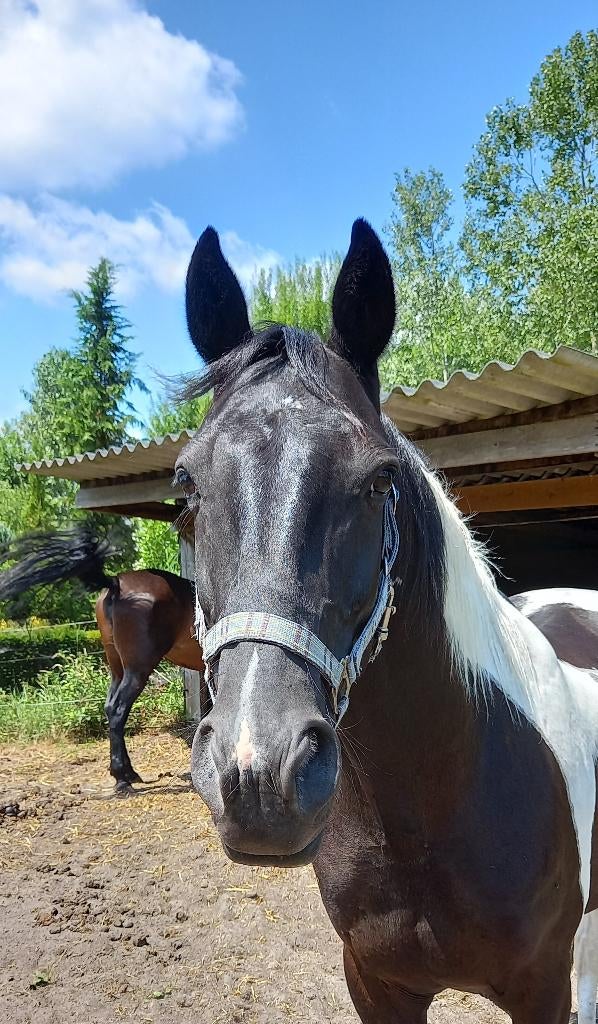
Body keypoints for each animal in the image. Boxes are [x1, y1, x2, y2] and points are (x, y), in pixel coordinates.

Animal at [0, 526, 204, 790]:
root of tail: (116, 583)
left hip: (117, 668)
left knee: (109, 708)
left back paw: (126, 773)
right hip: (137, 670)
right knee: (118, 710)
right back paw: (122, 779)